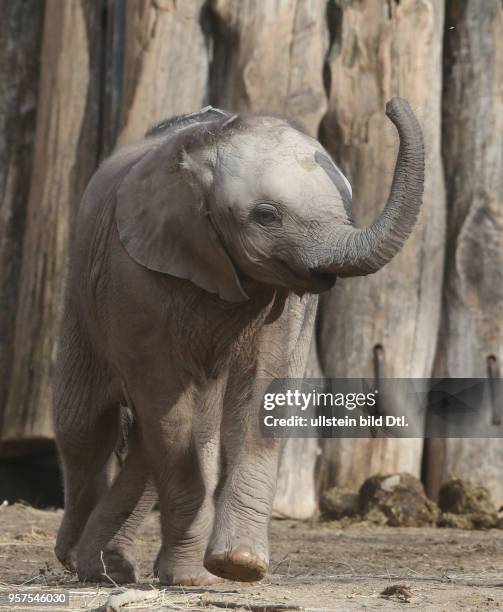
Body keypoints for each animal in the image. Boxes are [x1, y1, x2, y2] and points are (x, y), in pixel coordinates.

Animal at [54, 98, 426, 584]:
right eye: (266, 215)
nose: (391, 105)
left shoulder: (286, 300)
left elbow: (265, 390)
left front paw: (238, 567)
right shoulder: (134, 277)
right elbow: (165, 410)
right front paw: (206, 573)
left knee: (159, 437)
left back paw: (111, 568)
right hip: (81, 294)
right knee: (84, 425)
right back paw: (79, 560)